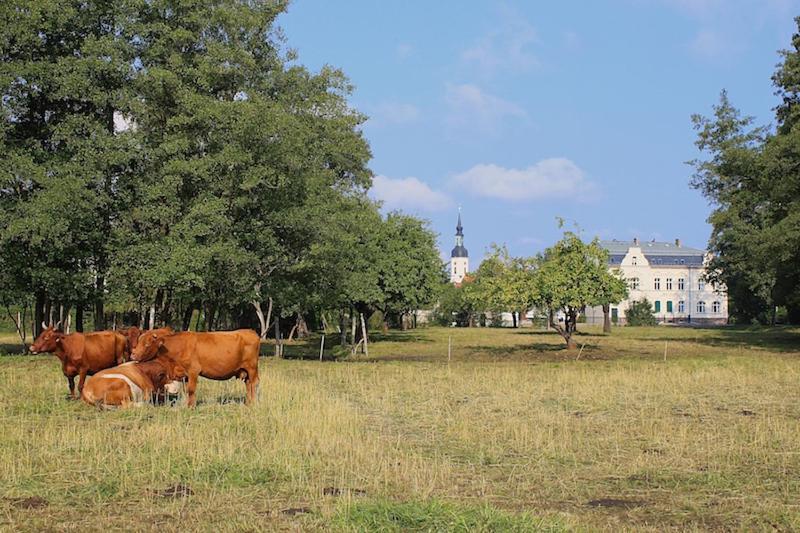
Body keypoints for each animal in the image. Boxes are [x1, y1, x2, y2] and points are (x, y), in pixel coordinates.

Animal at [132, 326, 260, 406]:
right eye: (138, 342)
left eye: (147, 344)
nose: (133, 355)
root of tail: (251, 332)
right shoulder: (185, 375)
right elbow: (186, 390)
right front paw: (188, 404)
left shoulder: (193, 371)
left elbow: (191, 390)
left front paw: (191, 407)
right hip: (245, 371)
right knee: (248, 385)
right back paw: (248, 403)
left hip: (252, 368)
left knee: (253, 384)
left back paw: (253, 403)